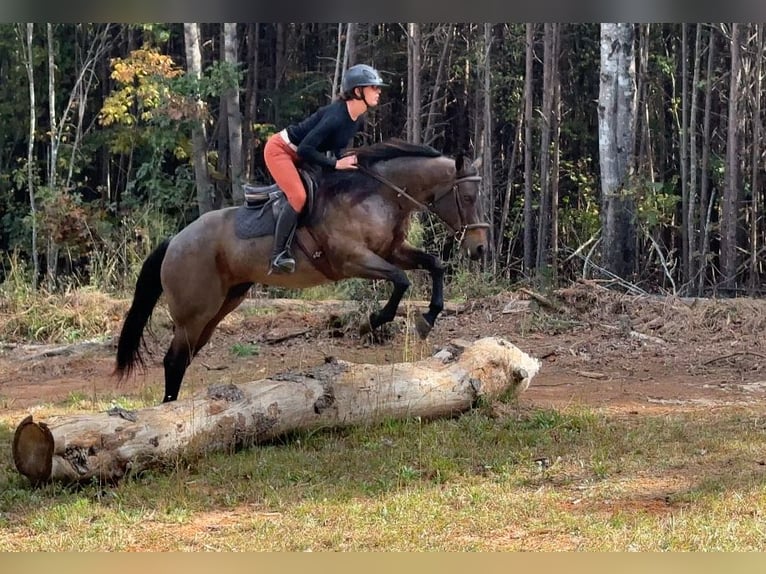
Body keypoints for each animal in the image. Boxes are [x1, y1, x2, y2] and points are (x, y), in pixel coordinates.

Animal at [114, 137, 488, 402]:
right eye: (468, 198)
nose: (480, 248)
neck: (379, 194)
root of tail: (174, 240)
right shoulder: (352, 259)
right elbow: (402, 279)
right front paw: (375, 320)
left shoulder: (391, 251)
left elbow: (433, 266)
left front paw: (428, 318)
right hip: (194, 313)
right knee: (174, 360)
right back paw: (168, 414)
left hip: (221, 306)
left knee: (184, 358)